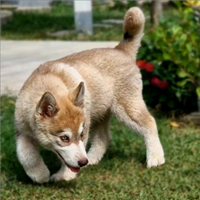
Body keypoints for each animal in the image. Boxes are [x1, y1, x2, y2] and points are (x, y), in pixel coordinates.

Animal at [13, 7, 164, 184]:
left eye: (81, 134)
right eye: (64, 138)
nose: (83, 162)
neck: (47, 82)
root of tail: (120, 50)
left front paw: (64, 176)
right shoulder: (22, 131)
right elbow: (26, 156)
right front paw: (39, 174)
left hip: (127, 110)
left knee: (150, 123)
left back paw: (155, 157)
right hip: (98, 114)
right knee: (104, 138)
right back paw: (92, 159)